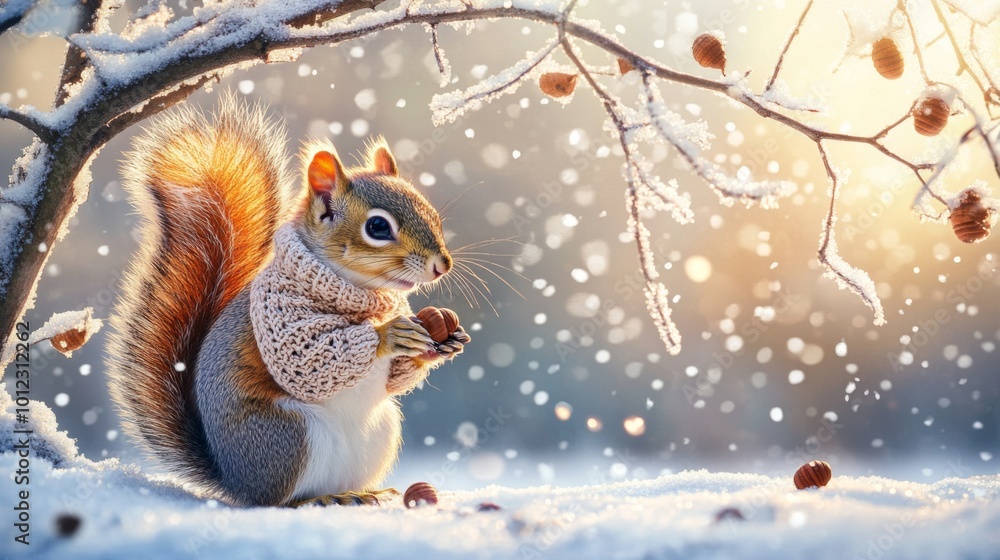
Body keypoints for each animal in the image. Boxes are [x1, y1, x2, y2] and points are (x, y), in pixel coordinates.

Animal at [105, 95, 470, 507]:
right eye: (378, 227)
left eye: (433, 213)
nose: (442, 265)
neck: (361, 292)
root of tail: (234, 479)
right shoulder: (278, 316)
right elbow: (308, 360)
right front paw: (389, 334)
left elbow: (397, 379)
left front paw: (443, 343)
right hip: (290, 436)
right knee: (277, 500)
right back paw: (316, 500)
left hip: (380, 431)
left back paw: (361, 493)